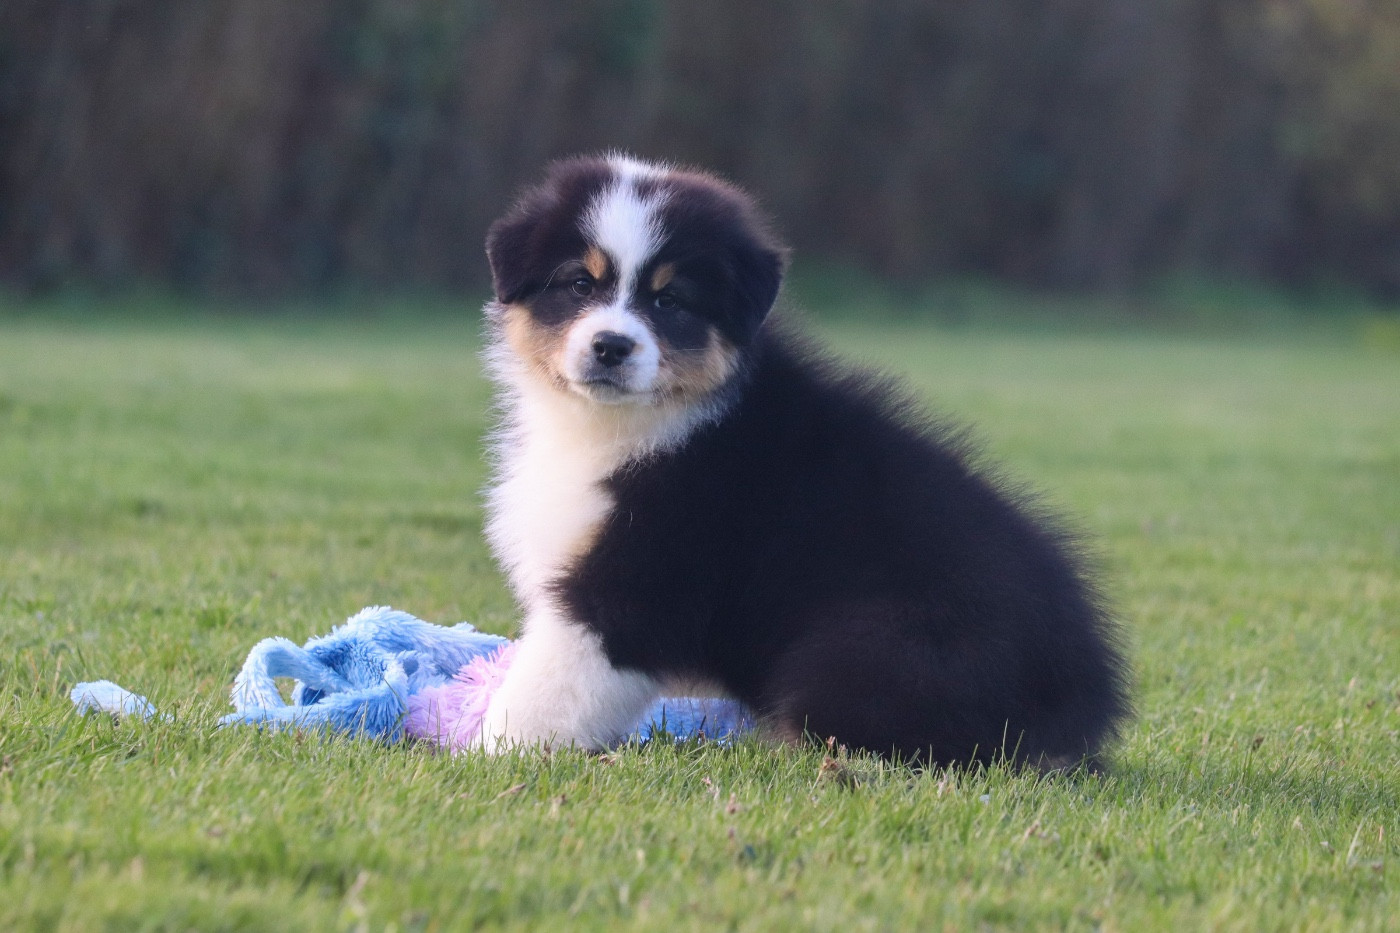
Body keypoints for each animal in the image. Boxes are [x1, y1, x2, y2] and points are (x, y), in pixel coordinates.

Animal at [477, 153, 1127, 768]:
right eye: (578, 285)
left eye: (670, 300)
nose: (611, 346)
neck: (634, 422)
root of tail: (1085, 700)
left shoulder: (637, 578)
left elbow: (548, 686)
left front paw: (487, 753)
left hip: (861, 652)